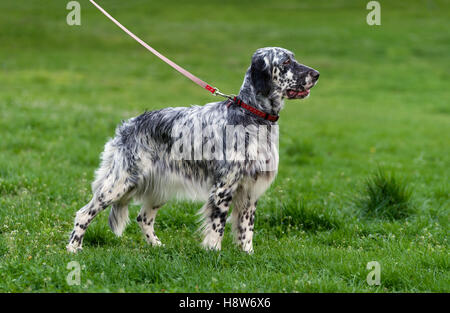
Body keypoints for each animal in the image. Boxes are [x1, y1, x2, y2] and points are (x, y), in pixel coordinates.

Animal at [67, 47, 320, 254]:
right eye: (286, 62)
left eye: (294, 58)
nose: (316, 74)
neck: (252, 117)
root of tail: (128, 125)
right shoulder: (223, 188)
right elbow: (218, 227)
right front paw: (214, 253)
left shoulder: (250, 190)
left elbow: (246, 229)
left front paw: (247, 254)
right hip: (120, 182)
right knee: (84, 213)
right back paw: (73, 248)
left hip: (160, 186)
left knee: (143, 217)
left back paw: (156, 246)